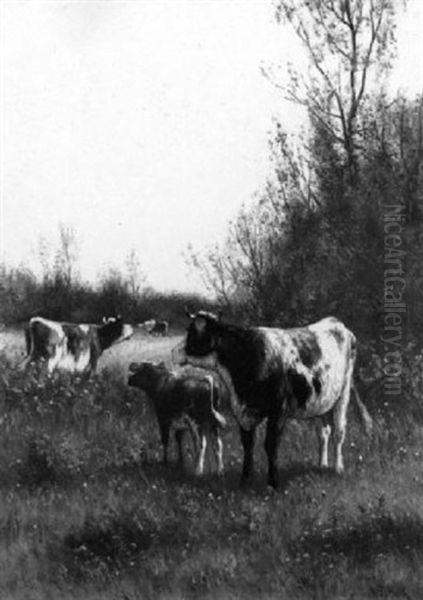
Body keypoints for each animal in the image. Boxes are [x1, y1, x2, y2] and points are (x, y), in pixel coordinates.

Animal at [174, 310, 372, 488]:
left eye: (193, 333)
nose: (173, 352)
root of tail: (336, 322)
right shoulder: (244, 412)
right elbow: (248, 445)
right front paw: (245, 480)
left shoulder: (279, 411)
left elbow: (271, 445)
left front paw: (273, 482)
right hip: (321, 401)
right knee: (323, 433)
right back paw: (322, 464)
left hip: (343, 394)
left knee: (339, 432)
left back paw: (337, 468)